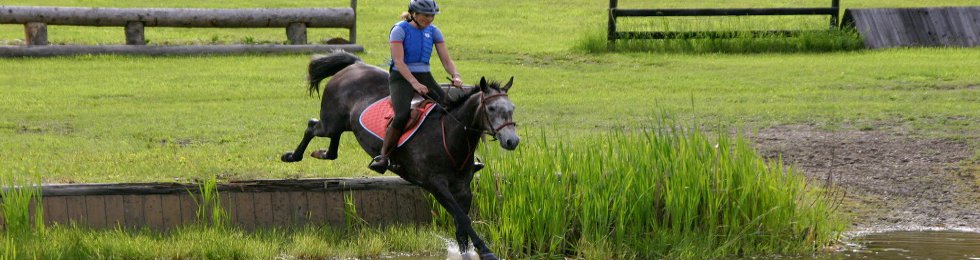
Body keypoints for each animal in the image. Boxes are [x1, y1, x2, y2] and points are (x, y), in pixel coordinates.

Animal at [280, 51, 516, 260]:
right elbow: (464, 220)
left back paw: (322, 153)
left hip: (342, 123)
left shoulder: (463, 188)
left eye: (512, 108)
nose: (512, 141)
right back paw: (292, 156)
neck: (450, 136)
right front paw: (486, 251)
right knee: (312, 126)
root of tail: (354, 65)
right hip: (330, 122)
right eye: (492, 108)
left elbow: (461, 224)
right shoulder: (436, 185)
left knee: (331, 145)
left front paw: (467, 252)